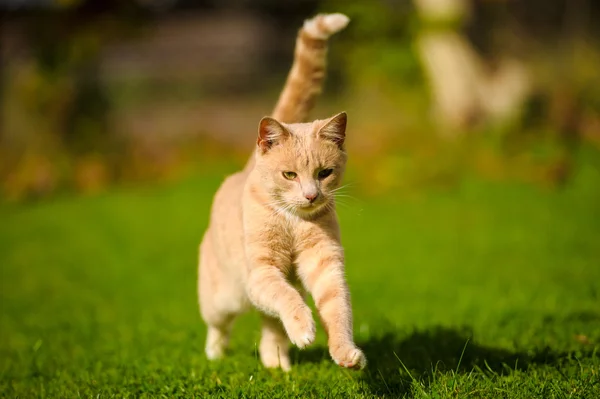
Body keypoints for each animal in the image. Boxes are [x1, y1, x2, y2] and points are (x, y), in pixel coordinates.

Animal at [199, 10, 366, 372]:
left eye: (324, 173)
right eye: (290, 175)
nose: (311, 195)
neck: (293, 222)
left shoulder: (325, 266)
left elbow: (338, 312)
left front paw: (346, 354)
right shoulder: (263, 272)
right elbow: (285, 297)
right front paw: (304, 329)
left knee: (271, 327)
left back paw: (277, 364)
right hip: (224, 297)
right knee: (219, 325)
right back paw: (215, 355)